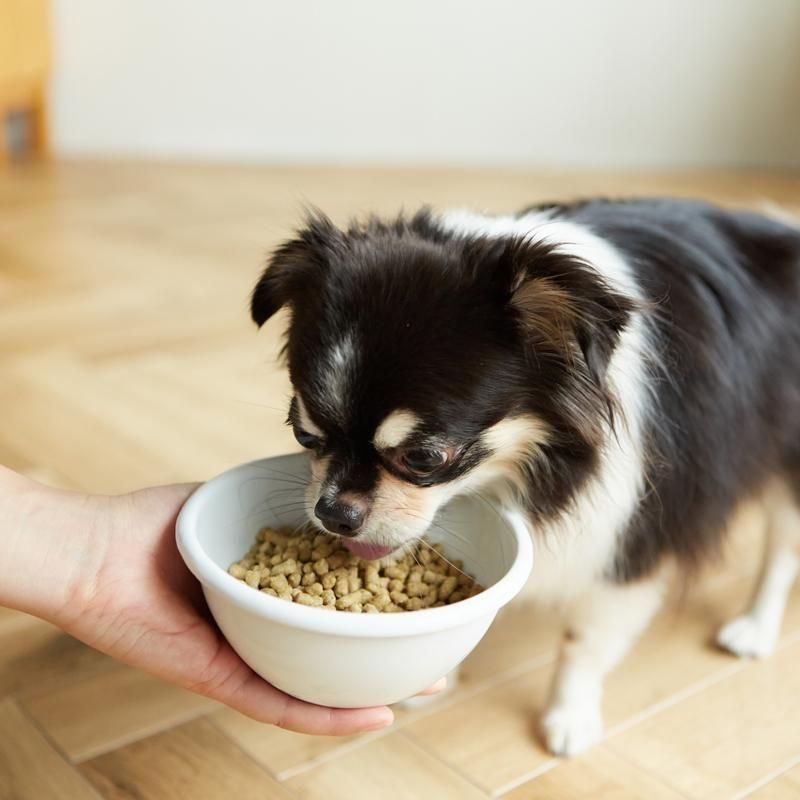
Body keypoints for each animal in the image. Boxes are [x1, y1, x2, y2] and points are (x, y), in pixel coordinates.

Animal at [249, 198, 800, 756]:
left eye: (424, 458)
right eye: (304, 433)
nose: (333, 512)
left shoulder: (632, 535)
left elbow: (584, 639)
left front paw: (570, 718)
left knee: (782, 552)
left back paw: (755, 627)